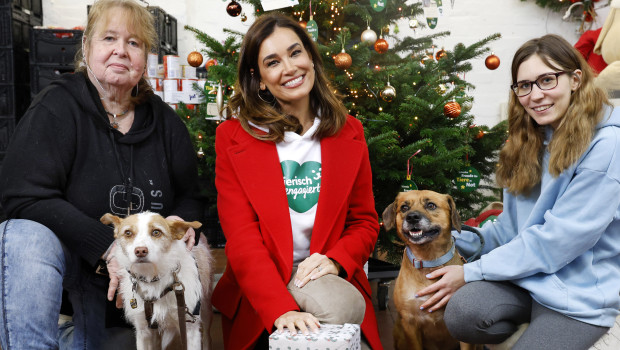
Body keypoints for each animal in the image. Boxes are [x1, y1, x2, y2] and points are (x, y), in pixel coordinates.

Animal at [101, 212, 213, 348]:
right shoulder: (143, 332)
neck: (152, 277)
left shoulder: (190, 328)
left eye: (156, 232)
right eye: (128, 233)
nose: (140, 251)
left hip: (206, 310)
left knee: (207, 336)